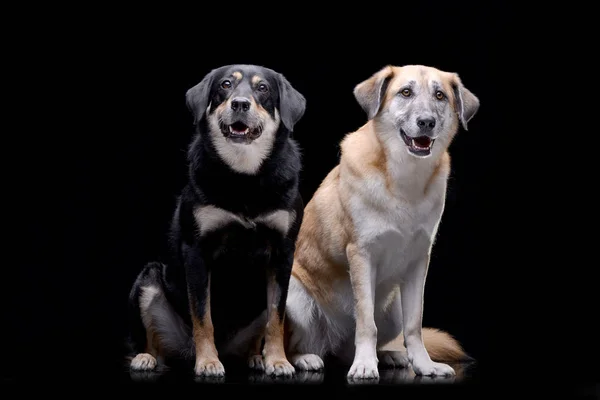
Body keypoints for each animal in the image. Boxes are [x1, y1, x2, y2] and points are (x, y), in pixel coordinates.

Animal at [125, 64, 304, 376]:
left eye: (263, 88)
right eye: (225, 84)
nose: (240, 104)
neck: (244, 176)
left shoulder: (283, 253)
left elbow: (276, 317)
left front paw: (277, 360)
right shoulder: (197, 251)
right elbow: (202, 316)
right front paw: (208, 361)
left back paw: (255, 358)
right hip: (149, 279)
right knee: (155, 341)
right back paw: (147, 358)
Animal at [284, 64, 480, 380]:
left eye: (440, 95)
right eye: (406, 92)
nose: (426, 122)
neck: (404, 177)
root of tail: (333, 341)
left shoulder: (418, 262)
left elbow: (414, 325)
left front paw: (423, 365)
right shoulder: (362, 255)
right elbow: (366, 323)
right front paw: (365, 365)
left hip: (393, 309)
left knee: (352, 348)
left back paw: (388, 356)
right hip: (295, 298)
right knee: (296, 342)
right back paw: (305, 358)